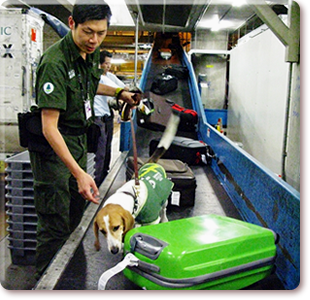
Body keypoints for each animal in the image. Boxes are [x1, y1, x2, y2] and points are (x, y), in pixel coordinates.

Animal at [92, 109, 179, 254]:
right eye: (102, 231)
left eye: (116, 227)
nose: (114, 250)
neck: (129, 196)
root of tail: (151, 163)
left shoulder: (151, 220)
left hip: (165, 200)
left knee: (164, 209)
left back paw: (165, 218)